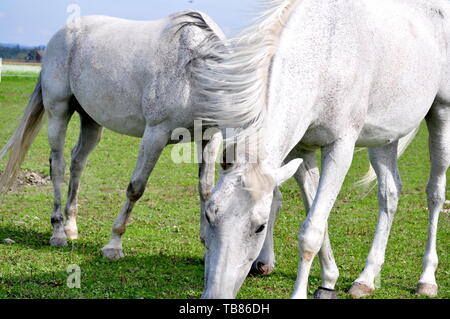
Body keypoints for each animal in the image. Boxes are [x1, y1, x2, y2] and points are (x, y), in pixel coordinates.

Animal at [0, 11, 225, 258]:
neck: (192, 70)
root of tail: (61, 34)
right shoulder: (155, 134)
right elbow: (136, 188)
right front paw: (114, 244)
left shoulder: (209, 137)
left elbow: (205, 189)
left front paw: (206, 245)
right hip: (58, 112)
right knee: (57, 167)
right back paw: (58, 233)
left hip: (91, 120)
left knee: (77, 163)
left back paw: (71, 227)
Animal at [194, 0, 450, 300]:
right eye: (209, 215)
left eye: (259, 227)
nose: (216, 296)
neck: (325, 51)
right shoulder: (302, 150)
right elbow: (318, 217)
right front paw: (328, 280)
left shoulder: (340, 148)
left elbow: (311, 231)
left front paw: (303, 292)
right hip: (384, 139)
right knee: (390, 194)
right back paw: (366, 279)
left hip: (441, 115)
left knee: (435, 193)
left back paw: (427, 279)